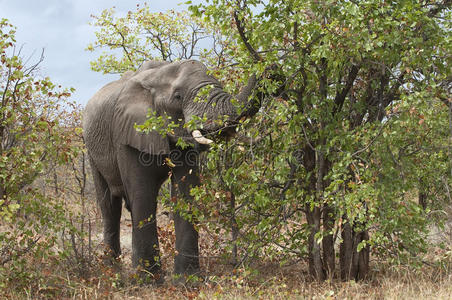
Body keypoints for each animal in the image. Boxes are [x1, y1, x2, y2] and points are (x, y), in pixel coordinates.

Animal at [82, 59, 256, 278]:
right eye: (178, 97)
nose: (273, 69)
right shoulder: (126, 131)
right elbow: (142, 194)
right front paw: (149, 280)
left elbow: (186, 192)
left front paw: (187, 279)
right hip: (91, 149)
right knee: (109, 206)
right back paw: (112, 271)